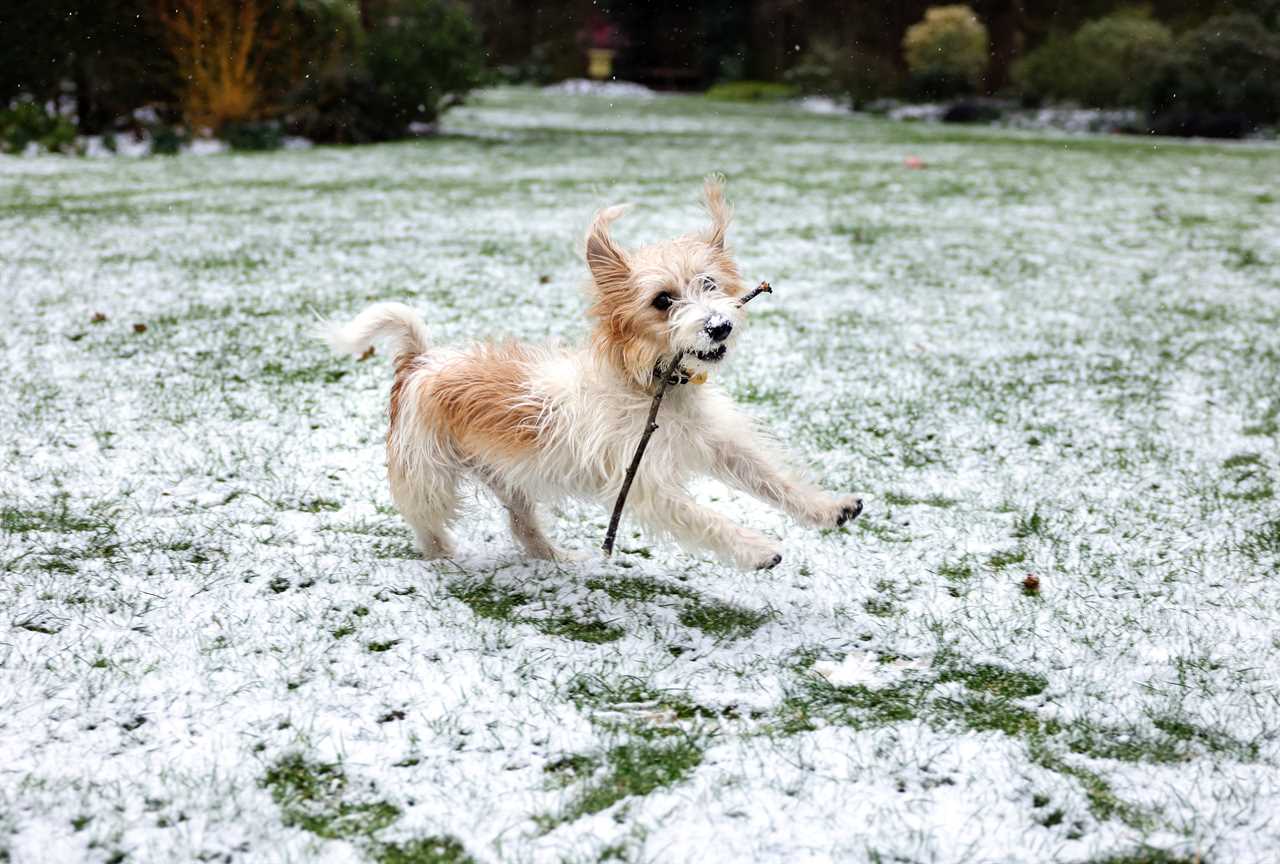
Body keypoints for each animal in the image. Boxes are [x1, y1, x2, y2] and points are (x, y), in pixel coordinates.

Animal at [325, 176, 860, 570]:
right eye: (662, 301)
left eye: (709, 284)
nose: (718, 325)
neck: (649, 385)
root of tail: (421, 359)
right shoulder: (645, 483)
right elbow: (703, 517)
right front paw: (755, 548)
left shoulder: (719, 444)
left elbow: (772, 478)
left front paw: (828, 507)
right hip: (428, 474)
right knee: (426, 521)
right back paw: (444, 559)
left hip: (507, 476)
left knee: (522, 525)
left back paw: (554, 558)